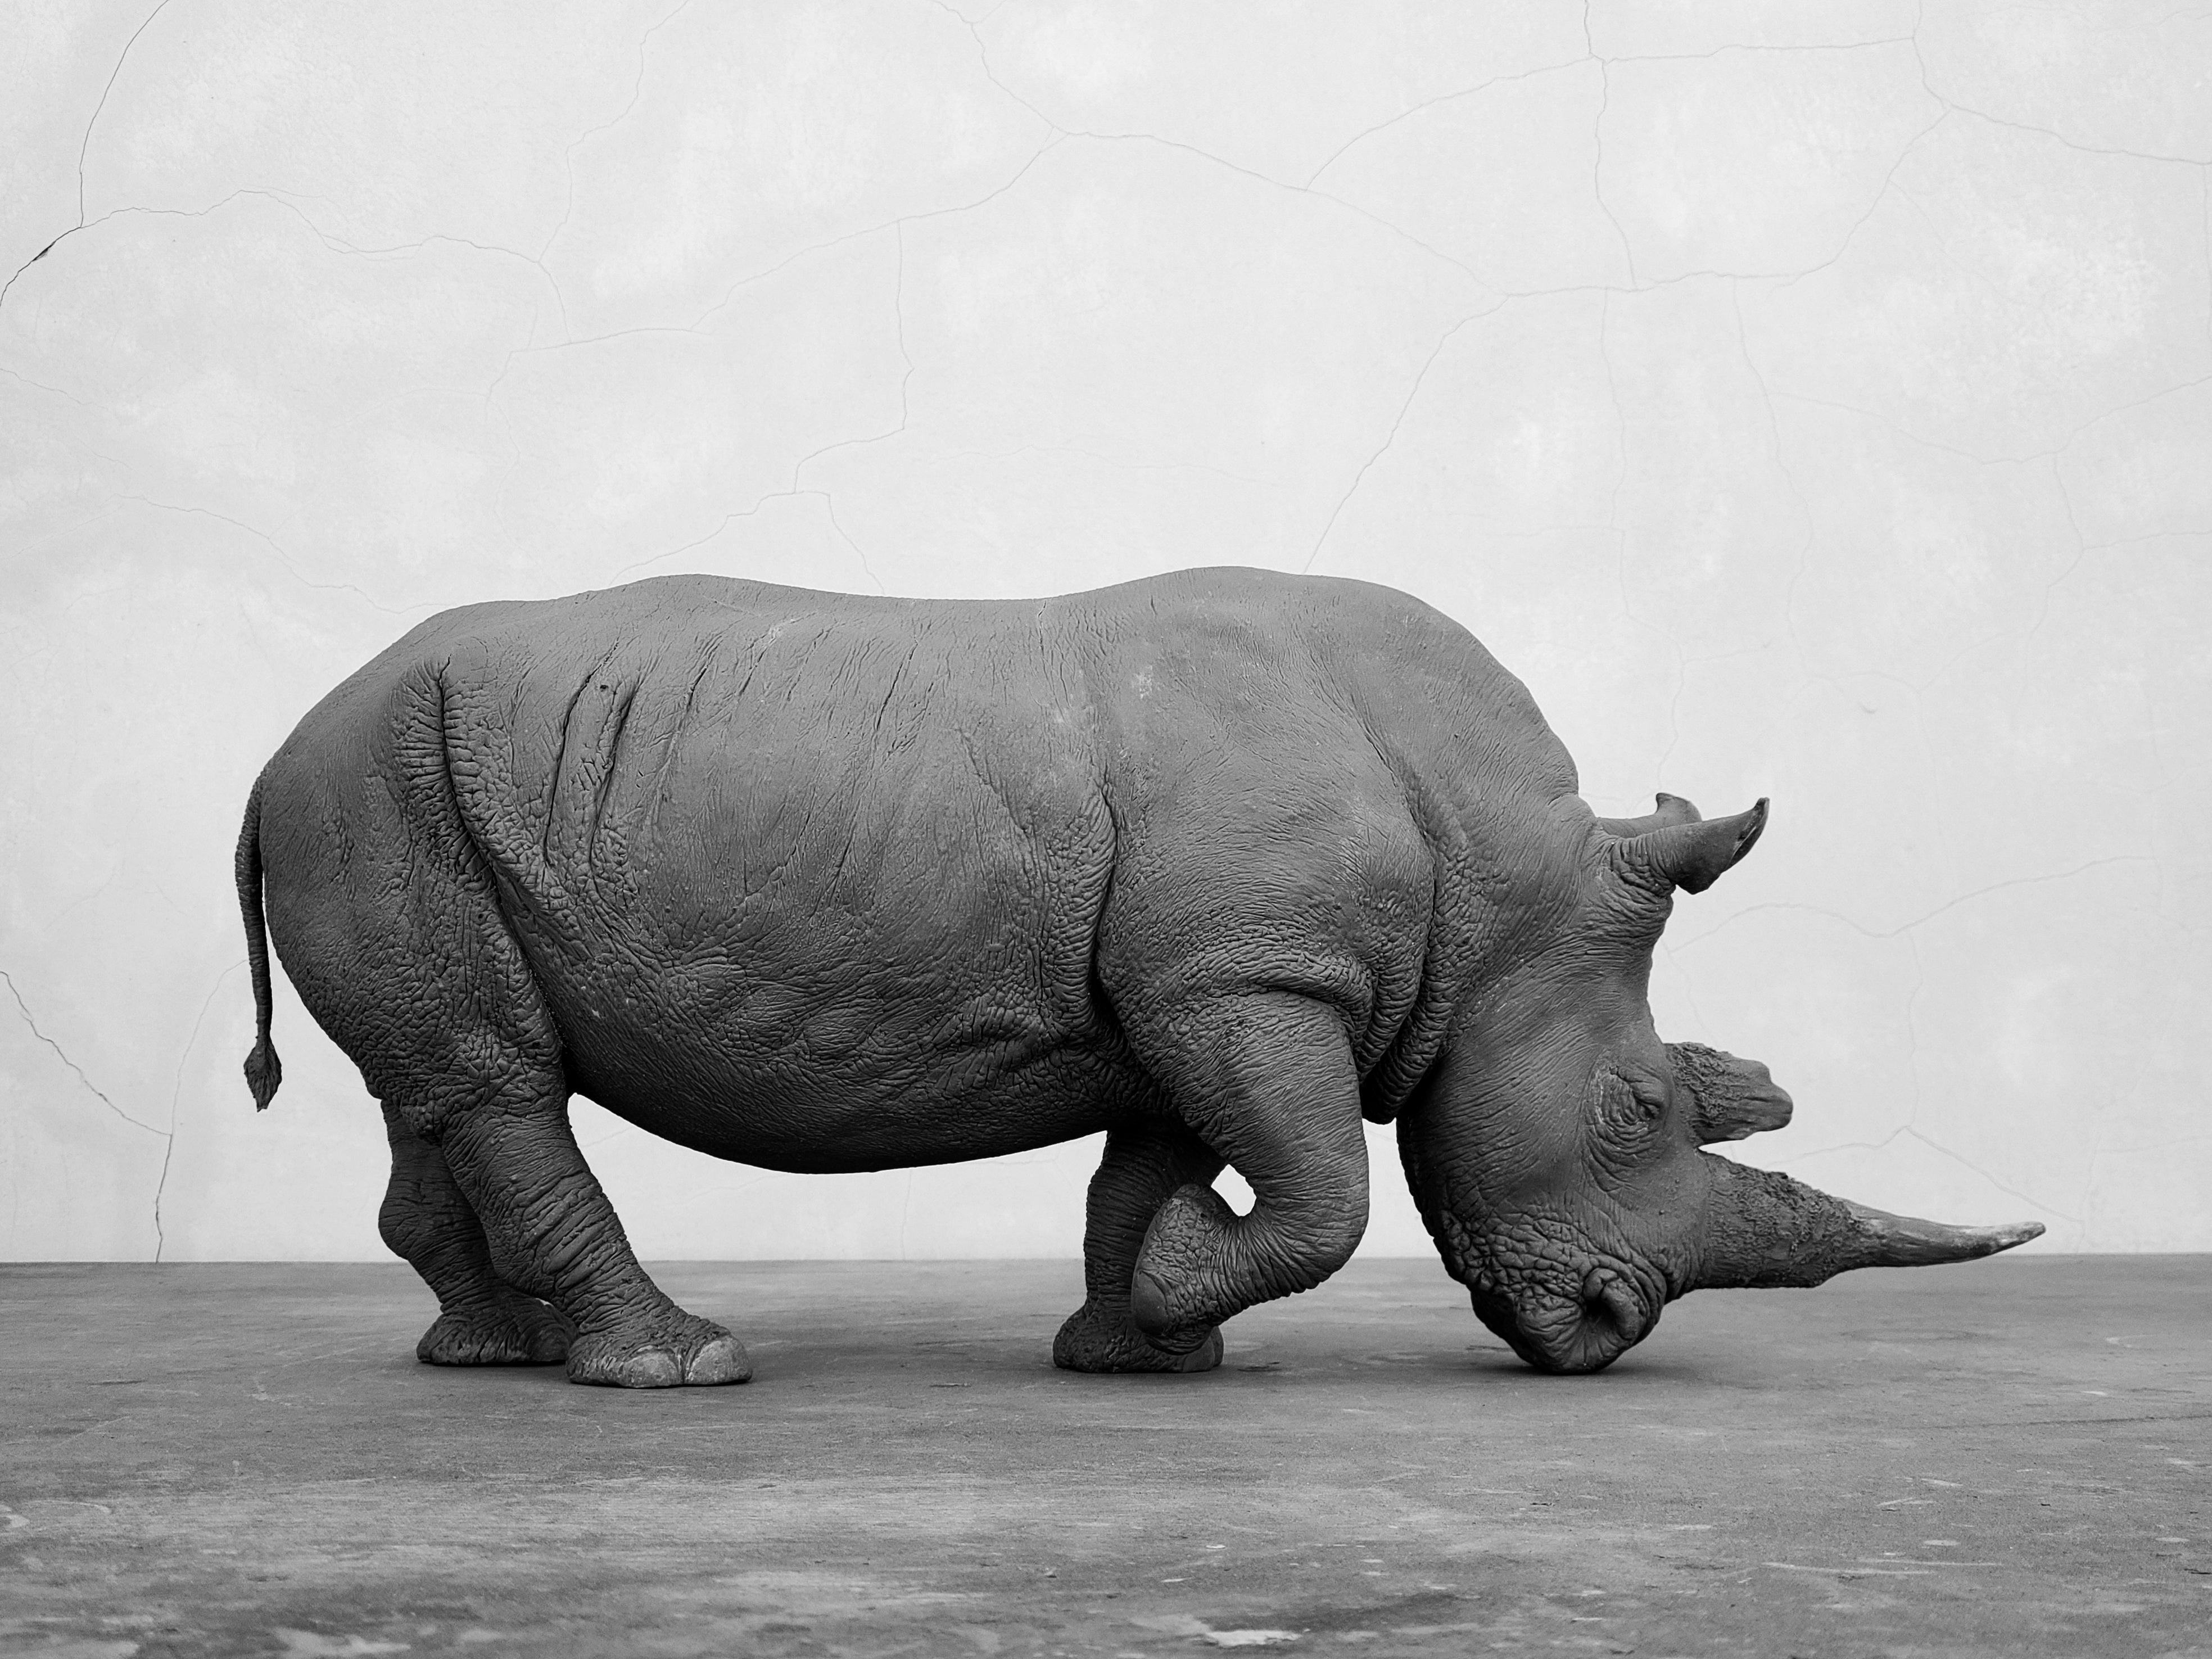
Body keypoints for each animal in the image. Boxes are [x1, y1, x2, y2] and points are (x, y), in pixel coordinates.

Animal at [235, 567, 2038, 1386]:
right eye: (1637, 1112)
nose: (1604, 1326)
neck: (1499, 877)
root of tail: (269, 754)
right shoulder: (1252, 977)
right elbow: (1322, 1196)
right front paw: (1180, 1292)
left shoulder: (1205, 982)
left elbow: (1157, 1164)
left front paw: (1140, 1342)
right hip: (376, 794)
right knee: (495, 1083)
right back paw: (677, 1366)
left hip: (402, 808)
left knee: (442, 1082)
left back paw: (494, 1355)